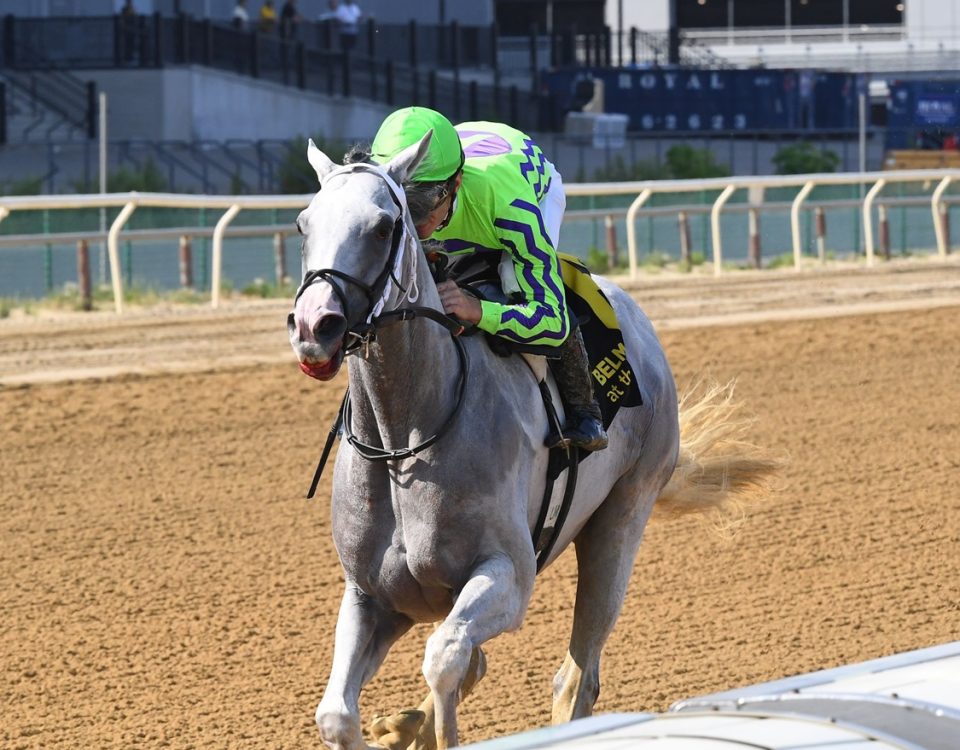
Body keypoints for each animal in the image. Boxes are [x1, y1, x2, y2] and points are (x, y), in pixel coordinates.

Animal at [288, 135, 776, 750]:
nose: (314, 326)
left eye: (382, 227)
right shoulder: (371, 595)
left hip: (622, 519)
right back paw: (405, 725)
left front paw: (433, 728)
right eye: (304, 223)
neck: (407, 437)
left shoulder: (510, 575)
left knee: (575, 677)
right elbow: (338, 713)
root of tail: (639, 321)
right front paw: (400, 727)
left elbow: (445, 656)